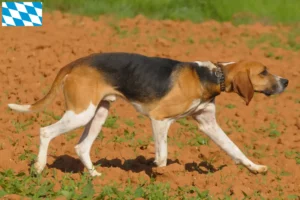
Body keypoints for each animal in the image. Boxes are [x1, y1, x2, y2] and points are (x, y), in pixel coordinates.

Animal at [7, 52, 288, 176]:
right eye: (263, 72)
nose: (285, 81)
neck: (212, 75)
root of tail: (75, 62)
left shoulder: (209, 124)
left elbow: (235, 149)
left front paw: (255, 168)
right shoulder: (159, 118)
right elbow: (162, 155)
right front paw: (158, 173)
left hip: (99, 113)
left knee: (81, 147)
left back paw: (96, 177)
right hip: (81, 113)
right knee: (45, 131)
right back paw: (39, 167)